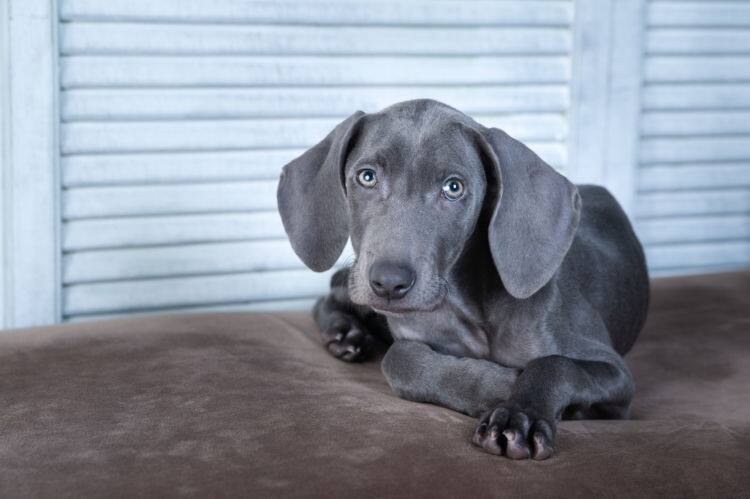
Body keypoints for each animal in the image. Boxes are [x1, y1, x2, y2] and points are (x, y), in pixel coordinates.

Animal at [277, 99, 649, 460]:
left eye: (453, 187)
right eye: (366, 177)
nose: (388, 282)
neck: (468, 305)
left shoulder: (616, 375)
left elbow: (556, 364)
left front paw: (521, 414)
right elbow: (398, 359)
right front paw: (498, 385)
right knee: (332, 292)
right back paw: (343, 331)